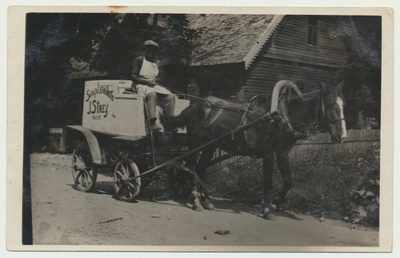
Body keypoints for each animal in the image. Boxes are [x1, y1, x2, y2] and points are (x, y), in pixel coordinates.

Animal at [170, 79, 346, 219]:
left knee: (201, 169)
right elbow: (267, 181)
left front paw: (275, 204)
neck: (282, 116)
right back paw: (196, 202)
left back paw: (206, 201)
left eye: (343, 105)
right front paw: (267, 209)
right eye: (330, 105)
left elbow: (288, 180)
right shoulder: (268, 154)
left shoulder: (282, 153)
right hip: (196, 144)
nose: (342, 136)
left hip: (210, 146)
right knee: (192, 168)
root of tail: (194, 107)